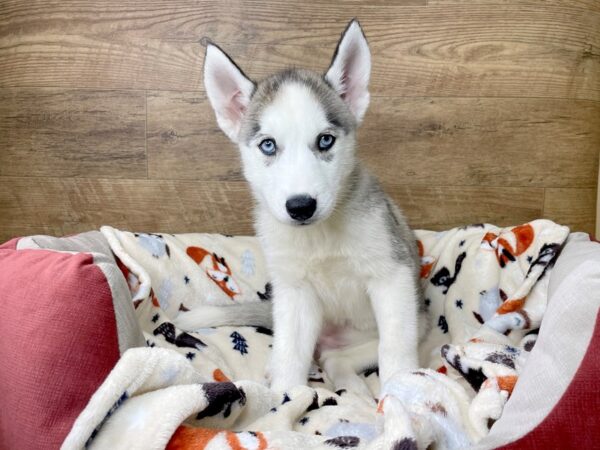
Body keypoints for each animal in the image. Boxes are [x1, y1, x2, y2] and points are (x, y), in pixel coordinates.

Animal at [176, 19, 428, 396]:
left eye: (325, 140)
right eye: (268, 145)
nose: (301, 206)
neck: (320, 236)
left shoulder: (392, 277)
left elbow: (394, 348)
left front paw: (403, 396)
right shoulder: (294, 293)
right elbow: (291, 356)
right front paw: (284, 399)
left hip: (412, 324)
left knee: (338, 359)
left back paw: (354, 389)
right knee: (312, 355)